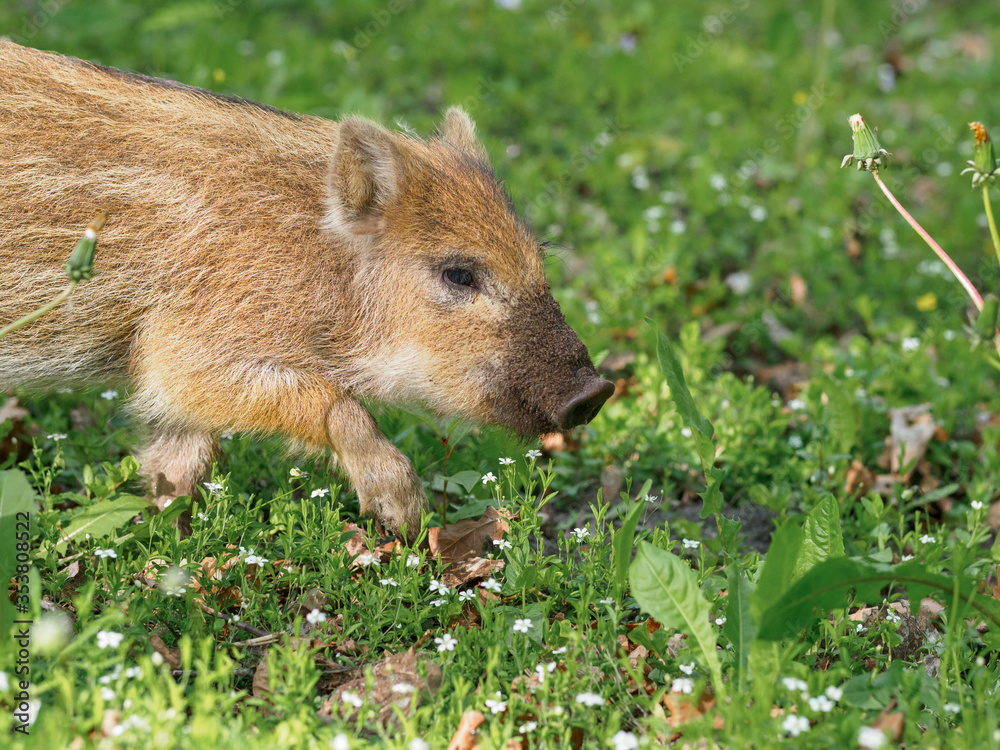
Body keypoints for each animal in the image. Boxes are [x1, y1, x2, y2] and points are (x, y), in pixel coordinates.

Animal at [0, 41, 614, 539]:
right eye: (460, 274)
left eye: (537, 258)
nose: (594, 392)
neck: (316, 259)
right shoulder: (178, 350)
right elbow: (335, 401)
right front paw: (404, 517)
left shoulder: (169, 384)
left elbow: (179, 459)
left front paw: (166, 533)